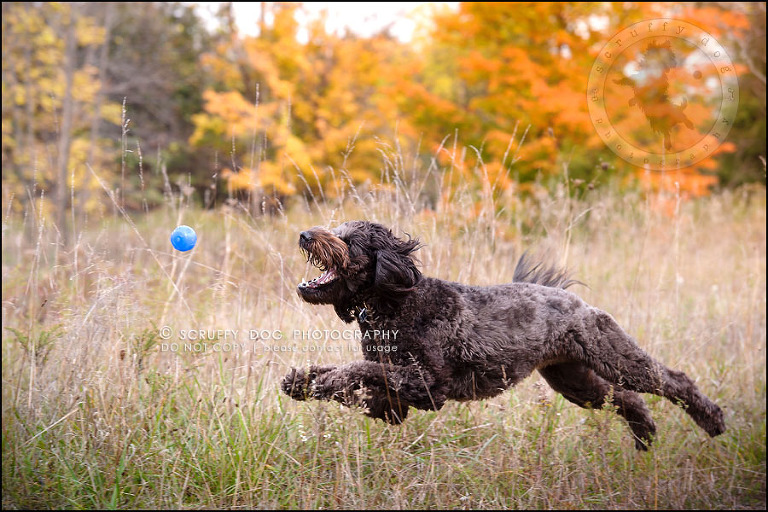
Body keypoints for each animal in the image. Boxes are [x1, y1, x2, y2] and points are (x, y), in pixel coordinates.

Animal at [280, 220, 724, 448]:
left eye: (349, 239)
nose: (305, 234)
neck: (395, 302)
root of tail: (573, 300)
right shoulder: (398, 404)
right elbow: (359, 384)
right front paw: (303, 381)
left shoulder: (427, 385)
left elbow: (359, 371)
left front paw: (317, 381)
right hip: (574, 380)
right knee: (625, 398)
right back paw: (645, 434)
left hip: (614, 356)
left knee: (672, 380)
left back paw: (712, 420)